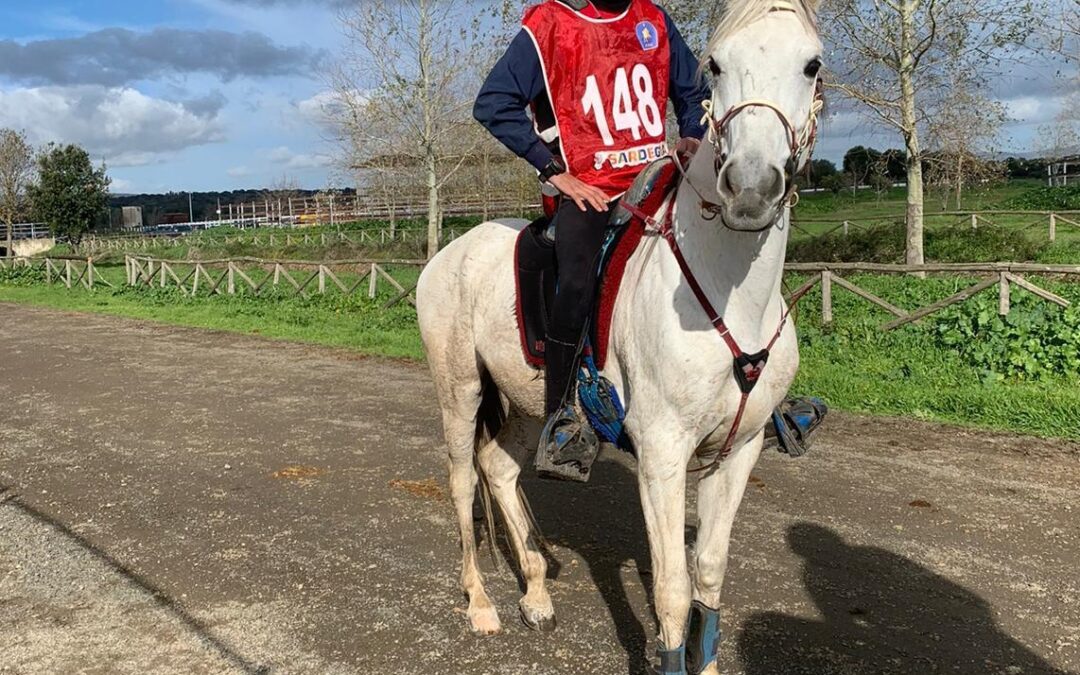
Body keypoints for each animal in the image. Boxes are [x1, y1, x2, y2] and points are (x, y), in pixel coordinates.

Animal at [416, 2, 820, 669]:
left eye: (811, 64)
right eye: (715, 64)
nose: (750, 189)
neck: (728, 294)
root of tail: (448, 254)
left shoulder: (740, 449)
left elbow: (709, 574)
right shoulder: (662, 456)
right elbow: (674, 592)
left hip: (529, 401)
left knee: (497, 467)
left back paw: (535, 593)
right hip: (459, 389)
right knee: (461, 480)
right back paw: (480, 603)